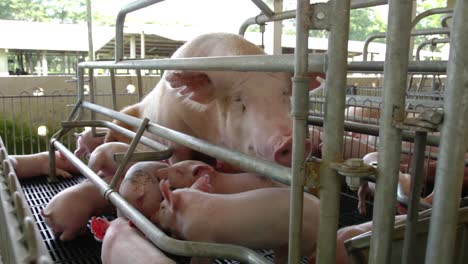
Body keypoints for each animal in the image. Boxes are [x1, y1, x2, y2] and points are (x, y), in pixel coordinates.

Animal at [105, 32, 310, 167]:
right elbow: (180, 157)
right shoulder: (174, 138)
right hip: (123, 115)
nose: (288, 141)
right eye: (238, 100)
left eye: (285, 94)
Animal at [155, 176, 320, 262]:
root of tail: (318, 204)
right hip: (284, 245)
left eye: (162, 207)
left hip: (305, 239)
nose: (152, 217)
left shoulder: (202, 239)